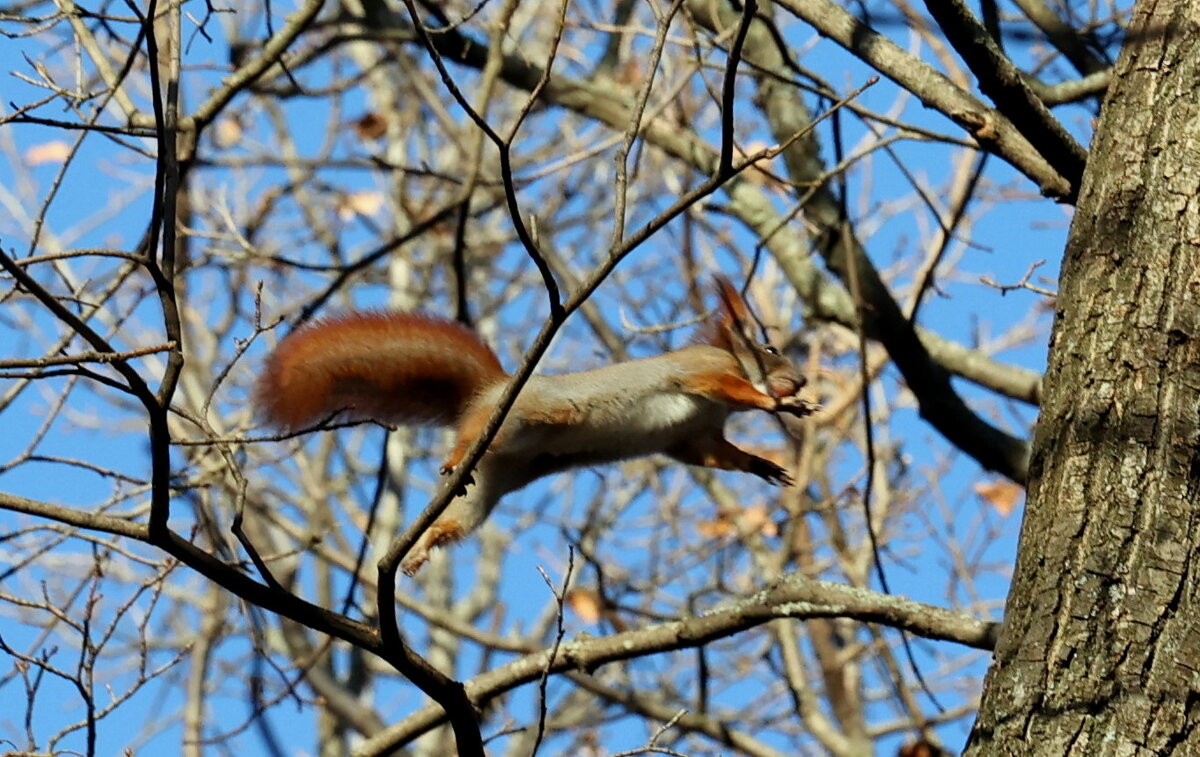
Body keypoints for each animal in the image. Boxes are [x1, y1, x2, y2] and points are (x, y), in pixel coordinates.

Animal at [256, 278, 811, 573]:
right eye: (769, 347)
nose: (802, 378)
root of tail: (491, 391)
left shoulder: (696, 436)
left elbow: (717, 455)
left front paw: (763, 465)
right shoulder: (702, 373)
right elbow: (730, 389)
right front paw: (774, 402)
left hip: (487, 486)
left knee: (454, 523)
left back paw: (421, 550)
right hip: (517, 419)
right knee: (471, 436)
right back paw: (454, 458)